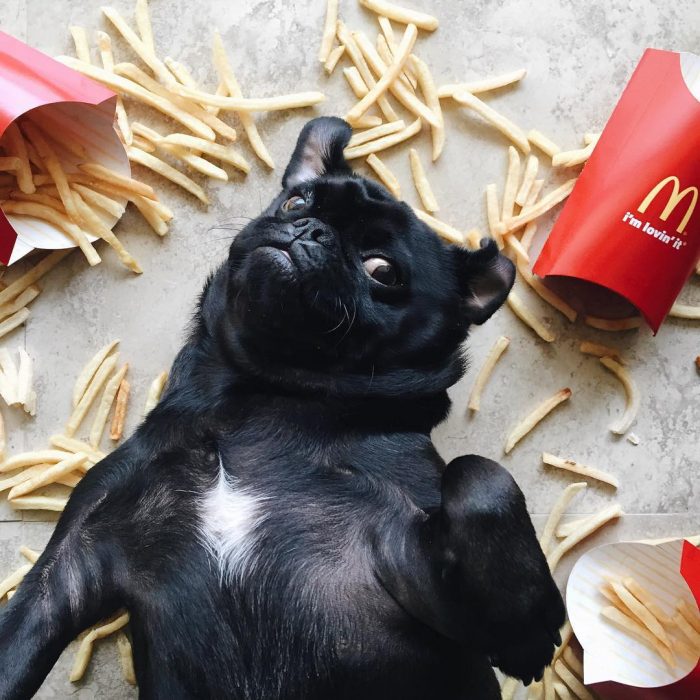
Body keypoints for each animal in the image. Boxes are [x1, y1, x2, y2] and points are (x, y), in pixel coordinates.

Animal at [0, 117, 564, 696]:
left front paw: (527, 631)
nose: (312, 230)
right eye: (296, 202)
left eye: (383, 271)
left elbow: (480, 475)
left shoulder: (421, 575)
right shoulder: (62, 574)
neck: (262, 398)